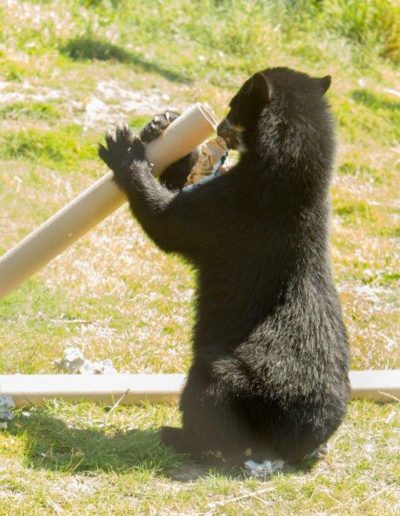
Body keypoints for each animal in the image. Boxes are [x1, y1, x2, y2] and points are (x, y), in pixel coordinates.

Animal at [99, 66, 350, 474]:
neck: (279, 180)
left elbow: (169, 223)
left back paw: (180, 437)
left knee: (209, 395)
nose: (217, 124)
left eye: (233, 105)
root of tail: (304, 439)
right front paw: (162, 123)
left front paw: (123, 149)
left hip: (245, 386)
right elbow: (184, 186)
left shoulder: (234, 211)